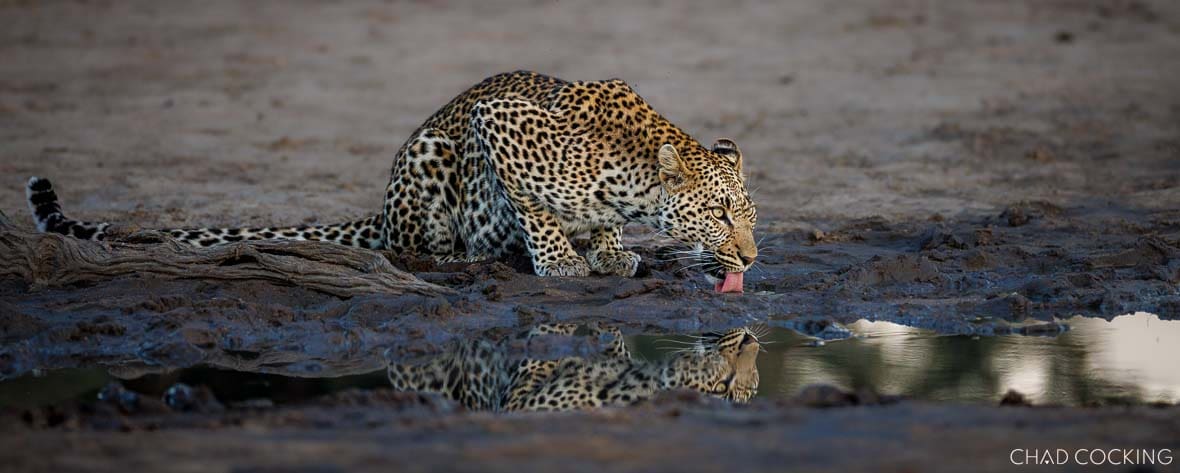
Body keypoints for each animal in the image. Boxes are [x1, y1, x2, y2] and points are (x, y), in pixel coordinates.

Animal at [24, 71, 758, 292]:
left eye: (749, 215)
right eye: (720, 213)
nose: (751, 257)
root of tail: (379, 209)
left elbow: (601, 224)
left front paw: (608, 251)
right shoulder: (498, 123)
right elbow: (535, 207)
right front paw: (561, 261)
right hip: (429, 154)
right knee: (411, 247)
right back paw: (464, 256)